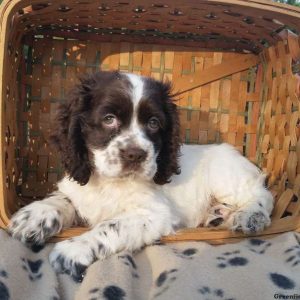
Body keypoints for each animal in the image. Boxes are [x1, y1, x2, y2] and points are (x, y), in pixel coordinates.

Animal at [7, 70, 274, 282]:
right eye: (109, 119)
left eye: (154, 123)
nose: (135, 154)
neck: (109, 183)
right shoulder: (79, 188)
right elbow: (63, 199)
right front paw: (34, 216)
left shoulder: (153, 214)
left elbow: (110, 225)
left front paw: (73, 250)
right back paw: (217, 215)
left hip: (227, 177)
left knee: (261, 195)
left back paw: (249, 217)